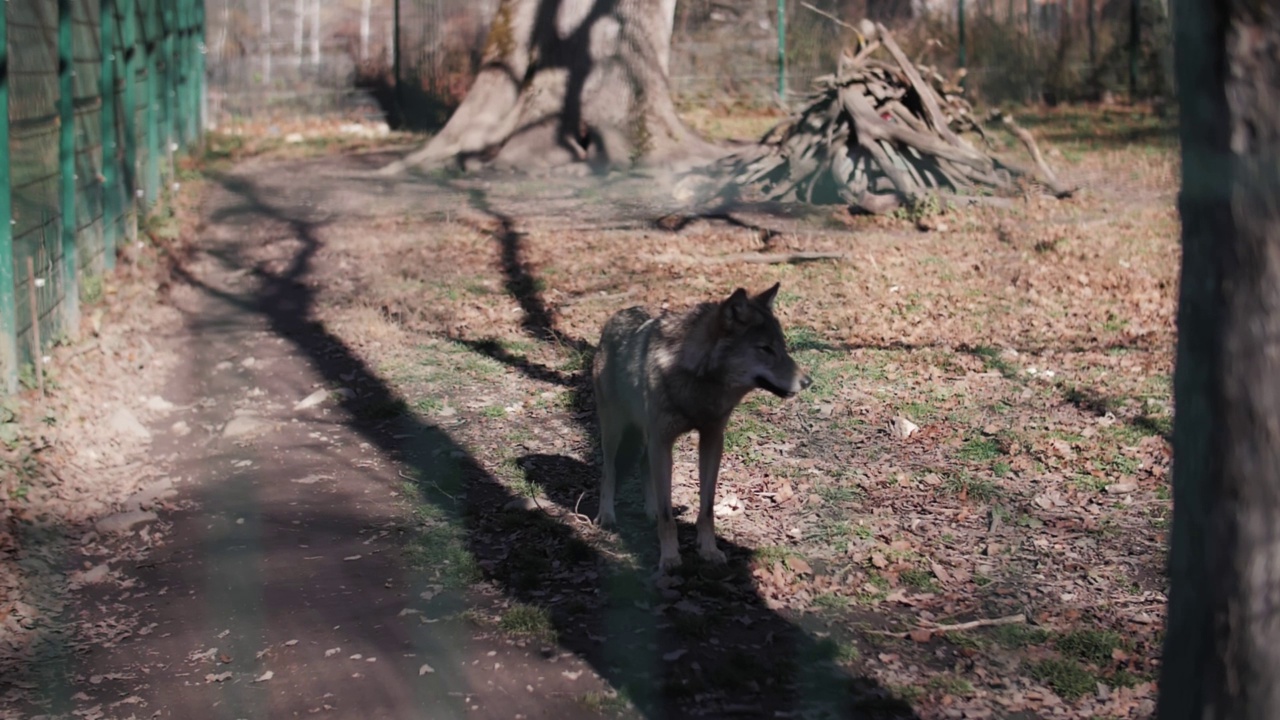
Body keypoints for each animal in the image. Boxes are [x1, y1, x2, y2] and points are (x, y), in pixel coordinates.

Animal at [593, 283, 814, 568]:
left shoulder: (711, 439)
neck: (698, 381)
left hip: (647, 438)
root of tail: (618, 314)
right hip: (614, 430)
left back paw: (650, 512)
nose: (807, 381)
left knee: (643, 466)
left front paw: (709, 550)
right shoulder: (663, 442)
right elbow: (668, 514)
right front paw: (670, 557)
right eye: (765, 348)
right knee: (608, 470)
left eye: (783, 348)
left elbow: (706, 508)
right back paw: (606, 516)